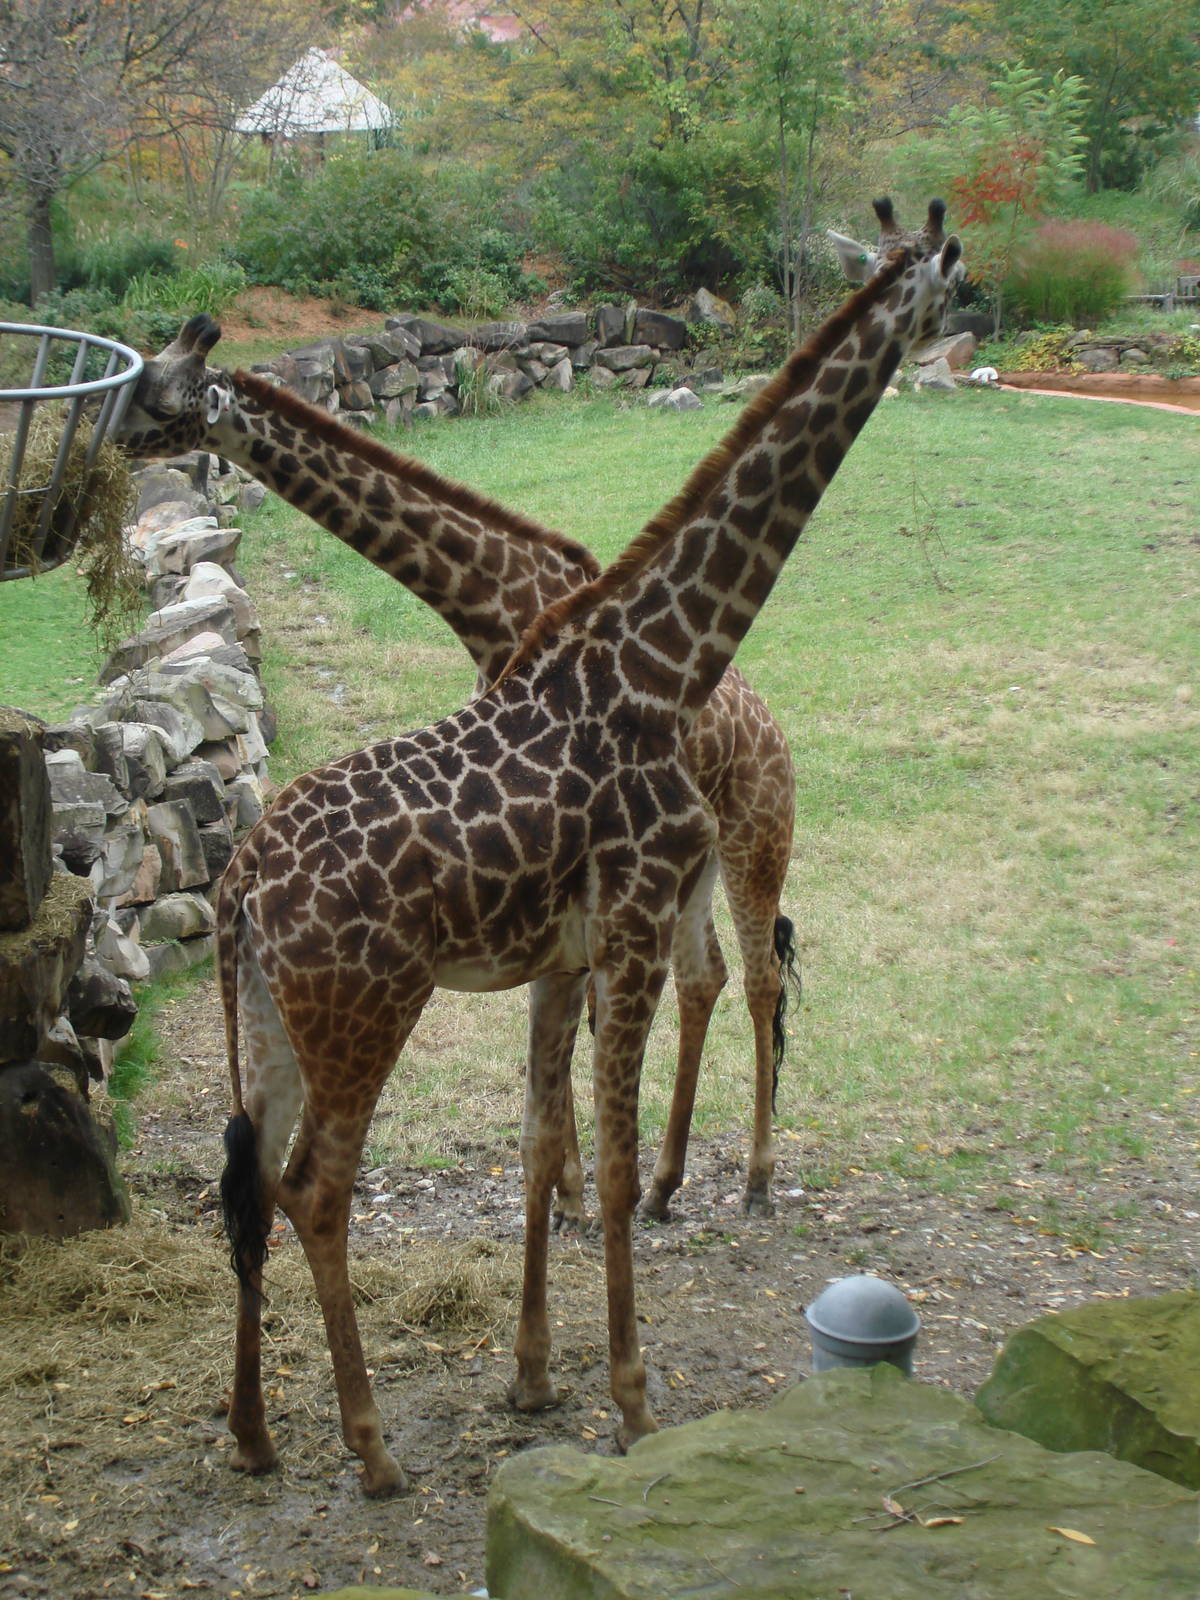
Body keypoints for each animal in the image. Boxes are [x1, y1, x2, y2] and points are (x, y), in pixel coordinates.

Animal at [115, 324, 799, 1221]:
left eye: (162, 396)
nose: (111, 444)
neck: (488, 603)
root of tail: (778, 737)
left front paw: (570, 1196)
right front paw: (570, 1194)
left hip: (758, 837)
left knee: (759, 980)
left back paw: (756, 1177)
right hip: (697, 865)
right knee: (704, 977)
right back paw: (661, 1184)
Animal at [200, 199, 961, 1495]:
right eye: (954, 278)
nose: (971, 325)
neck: (658, 658)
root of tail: (242, 881)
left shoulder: (575, 943)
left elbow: (544, 1143)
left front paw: (536, 1373)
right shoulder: (625, 920)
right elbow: (588, 1157)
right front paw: (629, 1399)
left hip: (283, 1010)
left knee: (258, 1182)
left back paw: (256, 1436)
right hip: (370, 1011)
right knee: (314, 1187)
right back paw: (371, 1445)